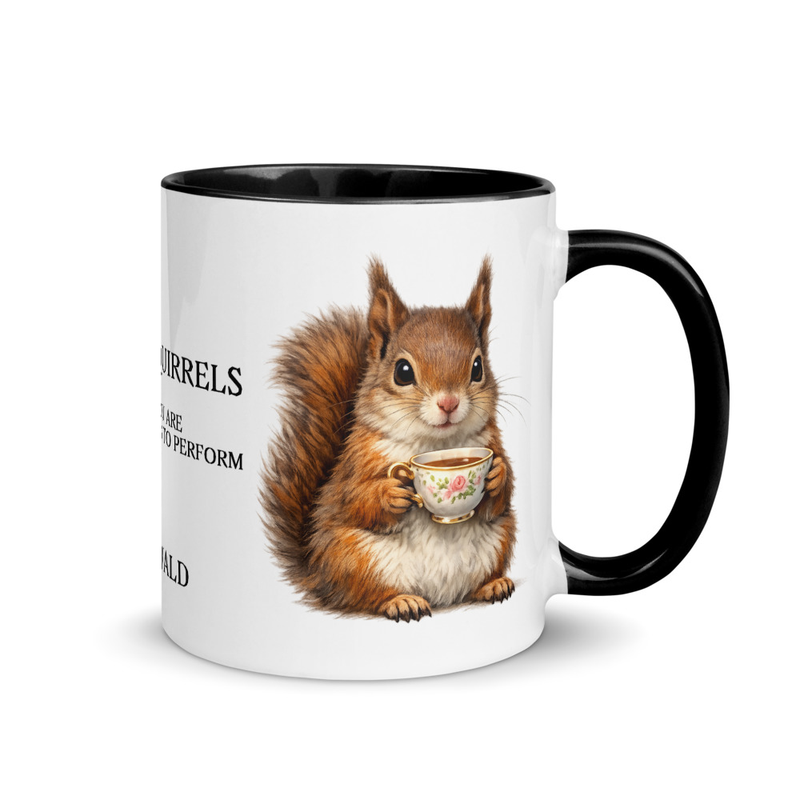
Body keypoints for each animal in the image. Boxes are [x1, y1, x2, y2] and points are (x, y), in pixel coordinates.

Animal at [260, 256, 516, 622]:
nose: (449, 403)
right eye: (403, 372)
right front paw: (390, 494)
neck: (438, 445)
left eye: (478, 367)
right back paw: (400, 601)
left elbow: (498, 502)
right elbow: (355, 499)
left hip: (499, 540)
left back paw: (492, 586)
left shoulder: (490, 444)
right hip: (356, 558)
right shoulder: (356, 462)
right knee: (362, 596)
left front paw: (497, 476)